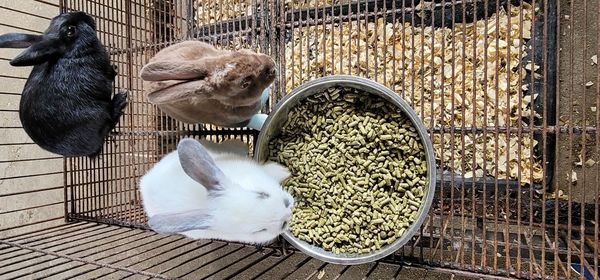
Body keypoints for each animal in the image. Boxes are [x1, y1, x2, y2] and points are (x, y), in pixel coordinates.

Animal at [0, 12, 126, 158]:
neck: (71, 54)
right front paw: (115, 68)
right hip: (99, 113)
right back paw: (120, 99)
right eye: (70, 30)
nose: (86, 16)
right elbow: (111, 73)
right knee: (109, 120)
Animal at [138, 138, 292, 245]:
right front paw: (285, 171)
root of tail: (144, 182)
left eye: (261, 194)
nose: (288, 214)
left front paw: (284, 171)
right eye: (259, 230)